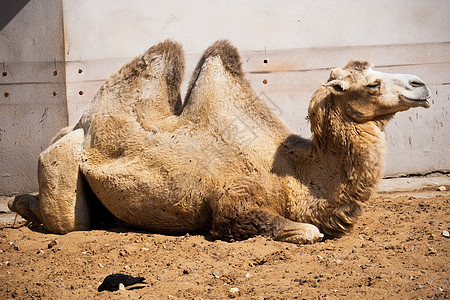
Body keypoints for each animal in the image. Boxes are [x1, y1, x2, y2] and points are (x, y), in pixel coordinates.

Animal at [7, 39, 432, 244]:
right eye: (372, 84)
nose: (422, 84)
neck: (295, 173)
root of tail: (71, 127)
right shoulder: (231, 201)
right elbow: (306, 231)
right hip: (60, 164)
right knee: (67, 222)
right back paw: (20, 206)